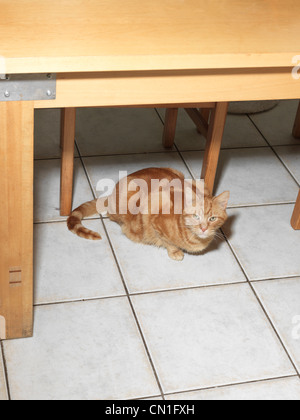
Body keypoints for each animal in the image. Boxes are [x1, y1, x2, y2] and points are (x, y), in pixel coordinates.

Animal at [67, 168, 230, 260]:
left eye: (212, 218)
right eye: (196, 216)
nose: (203, 228)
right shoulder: (155, 215)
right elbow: (167, 241)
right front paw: (174, 251)